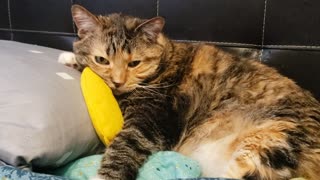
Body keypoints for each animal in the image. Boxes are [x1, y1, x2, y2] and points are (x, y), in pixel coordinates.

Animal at [65, 4, 320, 180]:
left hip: (273, 141)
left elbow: (124, 146)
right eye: (101, 60)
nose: (117, 82)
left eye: (134, 63)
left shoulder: (150, 123)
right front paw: (69, 58)